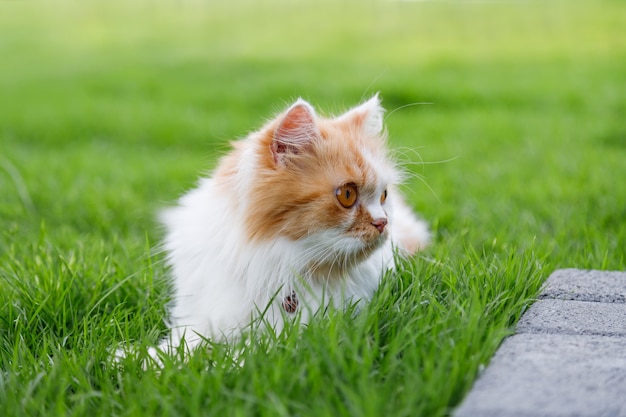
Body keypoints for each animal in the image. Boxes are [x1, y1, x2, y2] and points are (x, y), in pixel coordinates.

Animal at [156, 94, 428, 354]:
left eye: (383, 196)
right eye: (347, 195)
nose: (383, 223)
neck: (282, 266)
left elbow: (242, 355)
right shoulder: (199, 320)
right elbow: (178, 348)